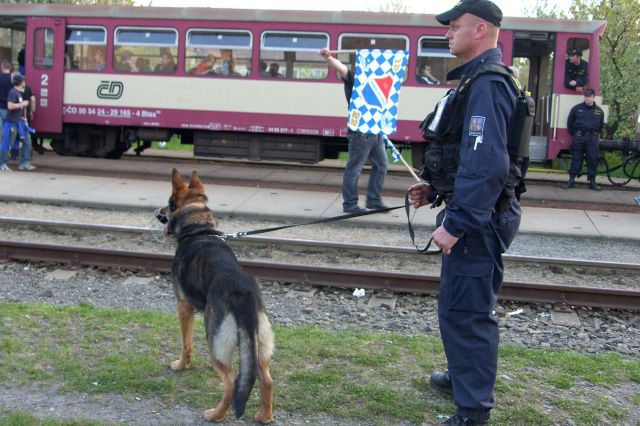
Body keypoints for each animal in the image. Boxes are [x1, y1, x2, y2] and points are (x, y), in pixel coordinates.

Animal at [158, 169, 276, 422]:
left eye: (169, 204)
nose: (158, 213)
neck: (199, 230)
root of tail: (243, 293)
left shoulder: (183, 307)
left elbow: (186, 345)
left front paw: (181, 365)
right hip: (260, 345)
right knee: (266, 379)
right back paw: (264, 416)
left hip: (216, 337)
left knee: (231, 381)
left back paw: (216, 415)